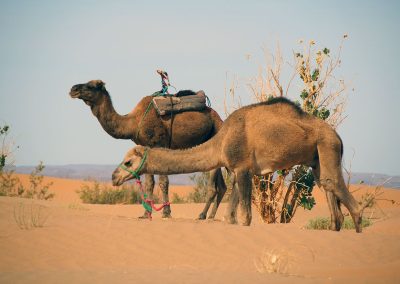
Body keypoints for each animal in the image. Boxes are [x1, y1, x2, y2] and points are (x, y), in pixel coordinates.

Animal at [70, 79, 227, 219]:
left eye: (91, 86)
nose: (73, 89)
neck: (133, 122)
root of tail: (218, 117)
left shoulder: (159, 144)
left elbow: (163, 182)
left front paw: (166, 213)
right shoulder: (146, 148)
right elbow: (149, 184)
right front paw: (146, 214)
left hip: (215, 133)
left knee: (213, 186)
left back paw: (202, 215)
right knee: (222, 185)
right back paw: (211, 215)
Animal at [111, 97, 362, 233]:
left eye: (128, 161)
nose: (114, 177)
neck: (221, 142)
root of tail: (337, 136)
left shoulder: (243, 169)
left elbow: (246, 217)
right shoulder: (237, 170)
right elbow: (230, 215)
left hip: (327, 146)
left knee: (345, 197)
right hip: (317, 157)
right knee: (328, 191)